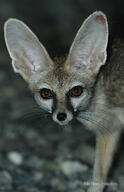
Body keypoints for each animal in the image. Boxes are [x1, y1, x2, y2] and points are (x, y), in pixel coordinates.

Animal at [3, 11, 123, 191]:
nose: (61, 116)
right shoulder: (109, 130)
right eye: (46, 93)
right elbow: (100, 174)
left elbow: (99, 174)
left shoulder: (109, 128)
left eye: (76, 91)